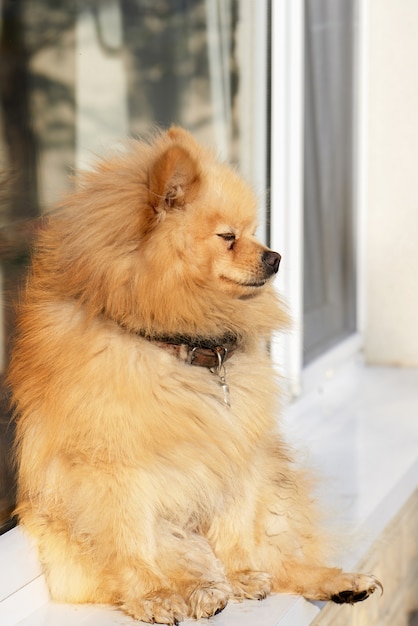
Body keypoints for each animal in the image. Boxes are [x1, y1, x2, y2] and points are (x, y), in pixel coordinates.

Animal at [8, 125, 382, 620]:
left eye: (254, 232)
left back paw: (336, 582)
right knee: (184, 558)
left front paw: (241, 573)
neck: (185, 345)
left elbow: (235, 524)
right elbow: (131, 542)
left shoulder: (237, 452)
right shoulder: (112, 468)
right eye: (227, 236)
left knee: (279, 560)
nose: (276, 256)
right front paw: (154, 595)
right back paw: (201, 591)